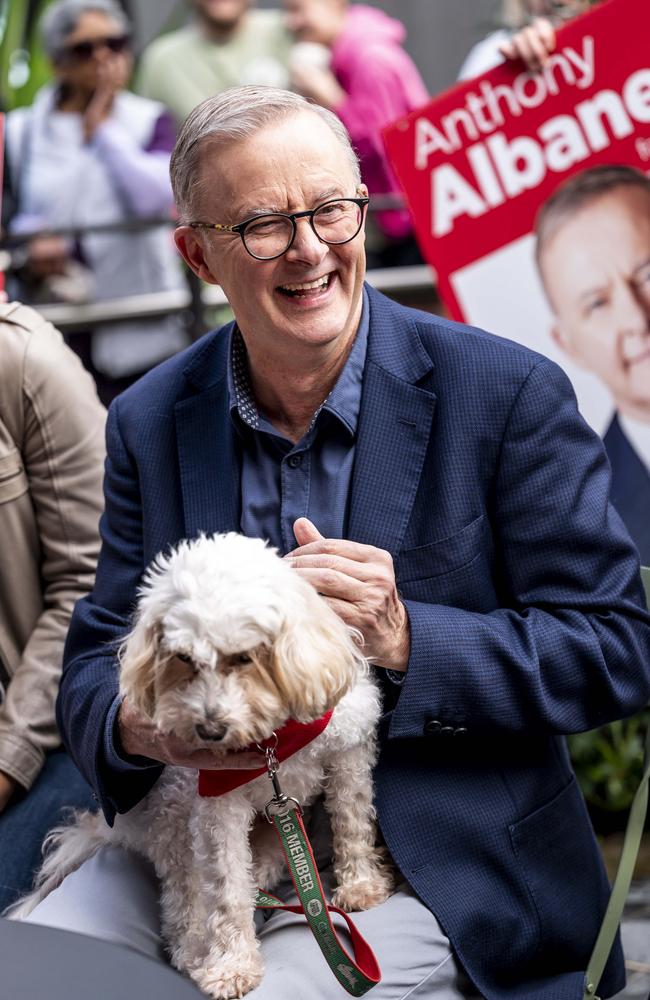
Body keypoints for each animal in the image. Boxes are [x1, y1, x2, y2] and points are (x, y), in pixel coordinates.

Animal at [12, 540, 392, 1000]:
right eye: (183, 659)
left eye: (244, 657)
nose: (210, 729)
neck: (271, 740)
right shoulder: (215, 805)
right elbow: (226, 890)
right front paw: (232, 965)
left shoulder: (348, 749)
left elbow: (352, 821)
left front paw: (360, 885)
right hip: (173, 817)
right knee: (185, 900)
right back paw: (195, 948)